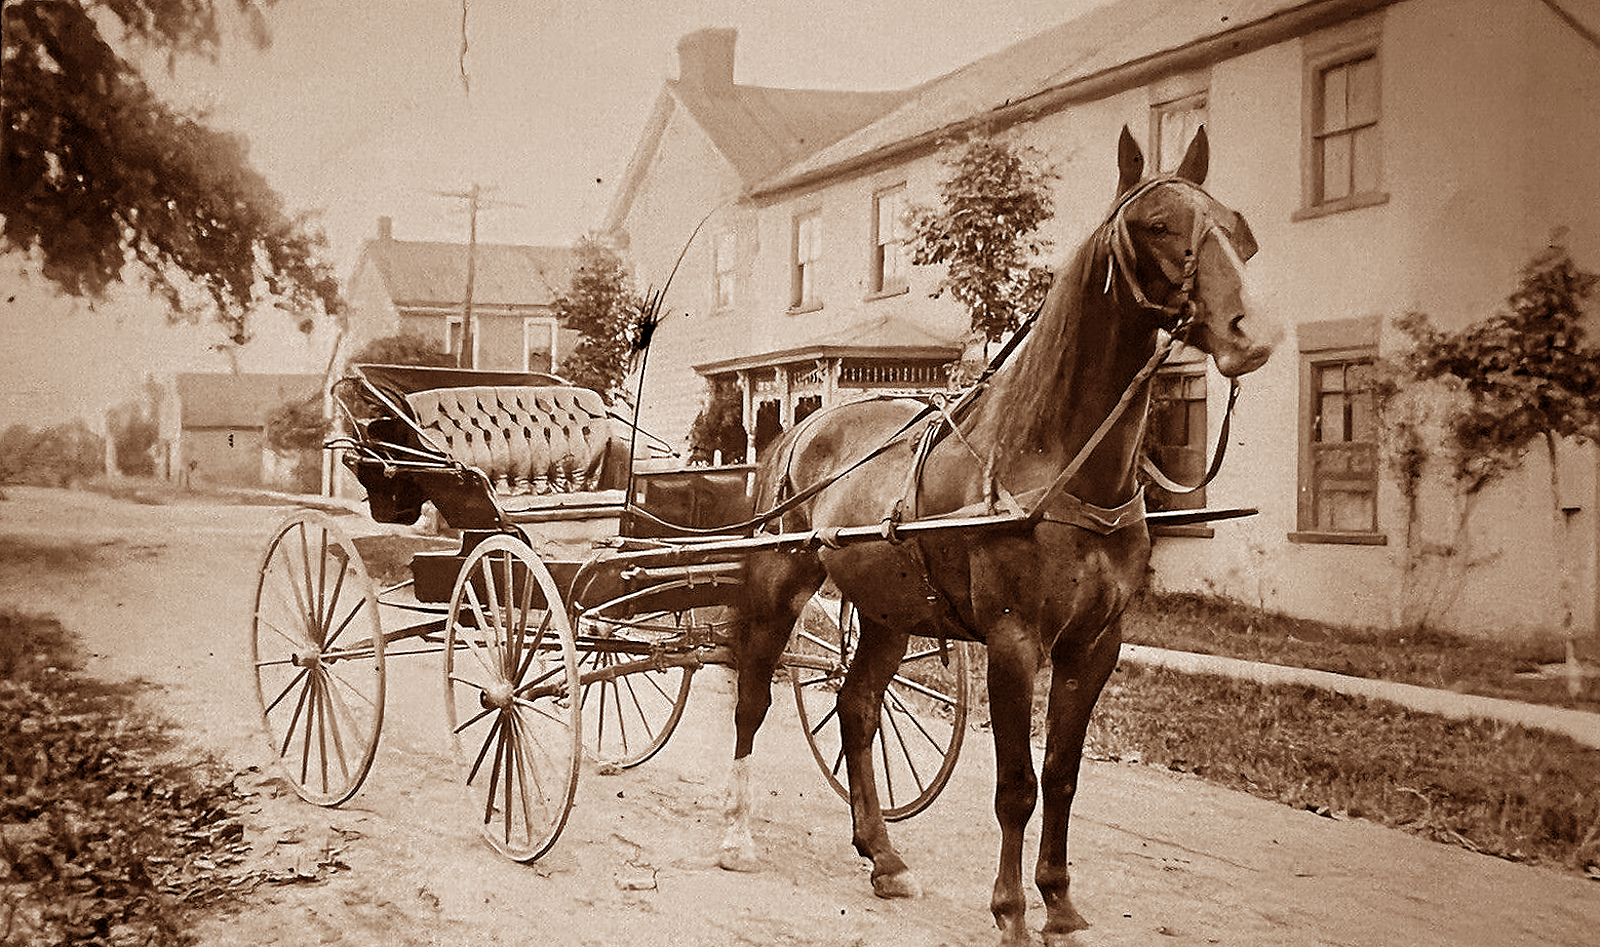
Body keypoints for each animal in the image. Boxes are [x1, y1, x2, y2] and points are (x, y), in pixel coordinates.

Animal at [718, 125, 1277, 945]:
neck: (1054, 462)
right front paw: (1011, 909)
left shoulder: (1094, 644)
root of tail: (803, 427)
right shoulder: (1015, 640)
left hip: (888, 611)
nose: (1252, 333)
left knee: (856, 707)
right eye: (1157, 225)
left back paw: (883, 854)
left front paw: (1061, 904)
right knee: (754, 697)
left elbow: (1063, 776)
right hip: (778, 581)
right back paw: (736, 832)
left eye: (1238, 227)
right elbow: (1016, 783)